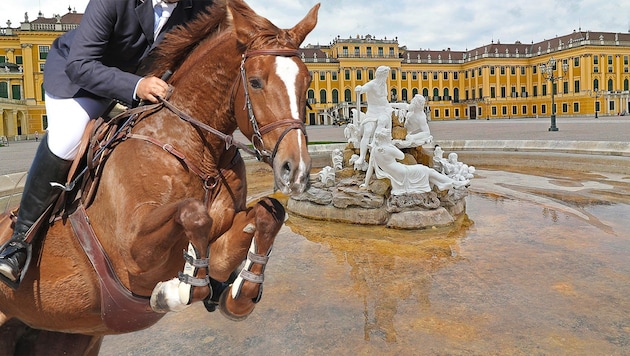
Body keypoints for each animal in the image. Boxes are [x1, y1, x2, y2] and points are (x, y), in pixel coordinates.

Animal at [0, 0, 318, 354]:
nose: (296, 169)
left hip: (64, 335)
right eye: (256, 82)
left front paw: (236, 292)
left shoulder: (224, 235)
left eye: (307, 82)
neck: (197, 147)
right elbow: (194, 214)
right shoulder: (132, 254)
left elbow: (268, 214)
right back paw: (12, 257)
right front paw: (176, 289)